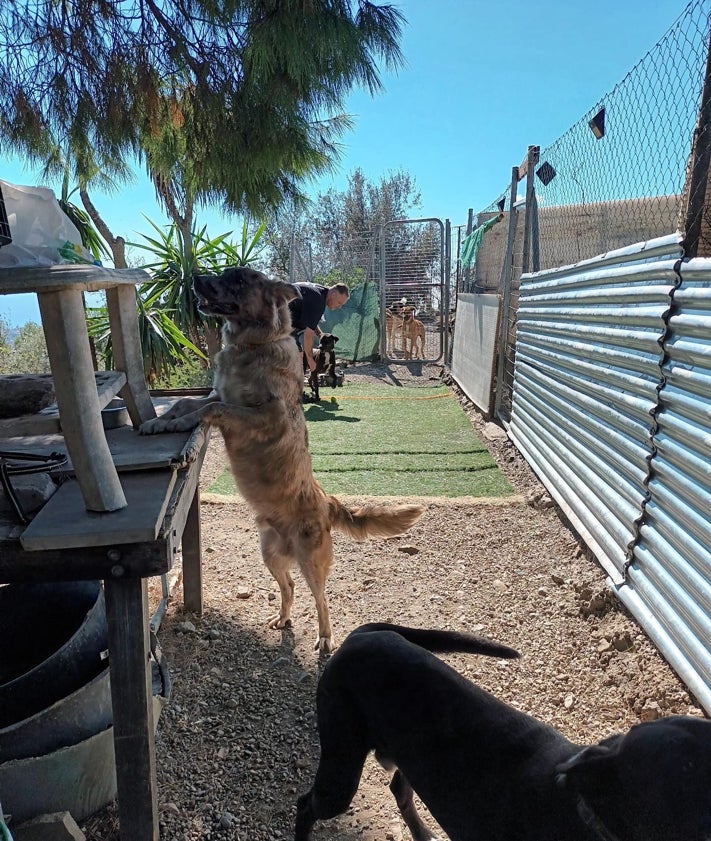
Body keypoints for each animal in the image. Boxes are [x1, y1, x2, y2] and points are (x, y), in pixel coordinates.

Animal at [142, 266, 426, 652]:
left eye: (239, 280)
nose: (197, 278)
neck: (252, 344)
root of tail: (328, 501)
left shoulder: (265, 414)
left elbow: (212, 409)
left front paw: (176, 424)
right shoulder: (218, 393)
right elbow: (189, 402)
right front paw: (159, 421)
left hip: (310, 562)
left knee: (322, 599)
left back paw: (325, 637)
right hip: (270, 554)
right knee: (289, 587)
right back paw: (283, 618)